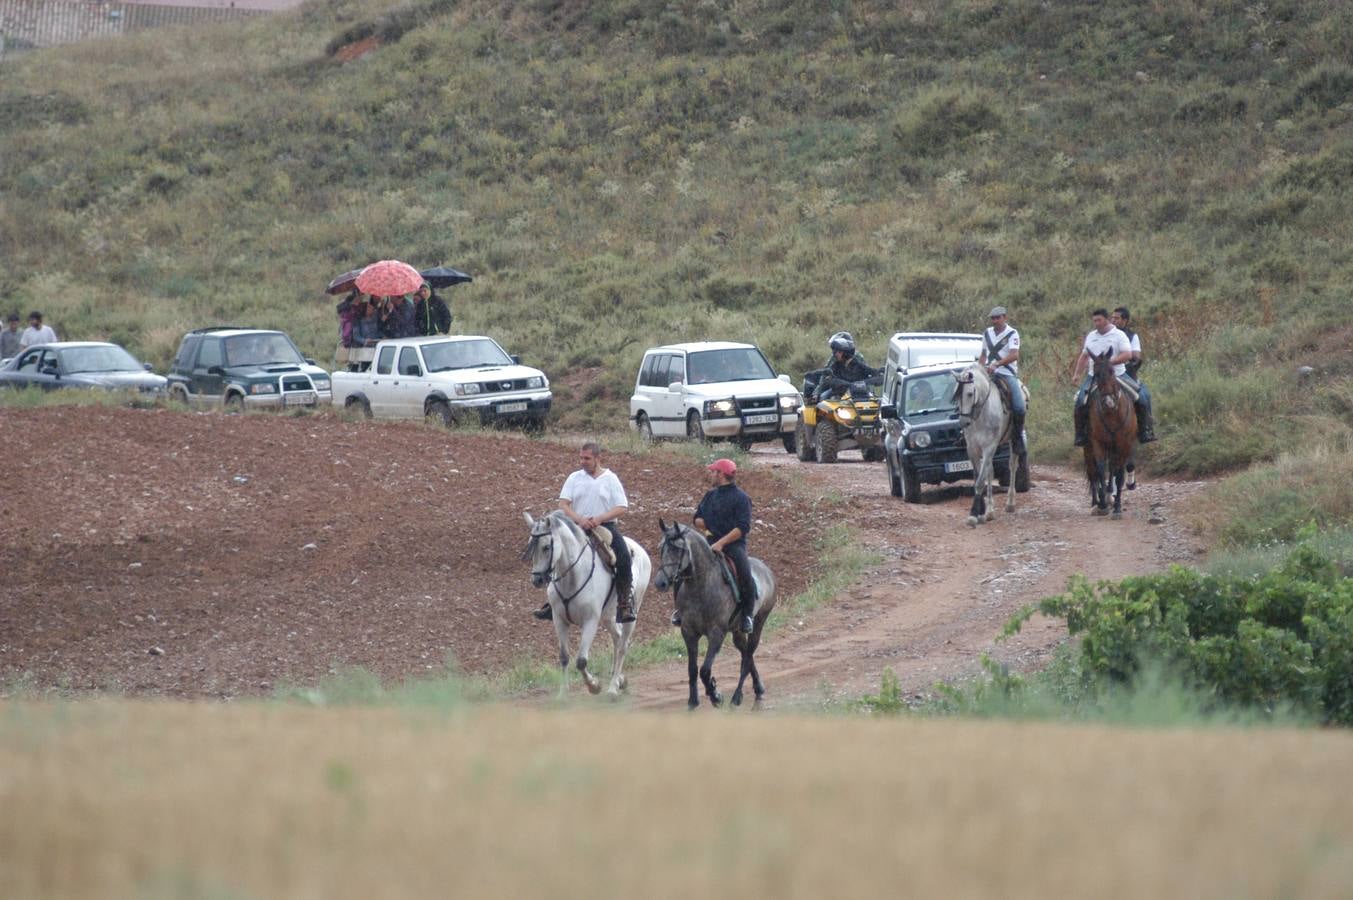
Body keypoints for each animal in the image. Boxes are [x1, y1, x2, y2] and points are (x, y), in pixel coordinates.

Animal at [522, 511, 649, 692]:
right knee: (617, 638)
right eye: (530, 546)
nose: (537, 580)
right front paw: (563, 693)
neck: (573, 577)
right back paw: (619, 680)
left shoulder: (590, 621)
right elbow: (564, 656)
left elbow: (581, 661)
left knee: (623, 645)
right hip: (608, 616)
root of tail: (640, 549)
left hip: (631, 613)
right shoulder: (559, 620)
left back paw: (612, 688)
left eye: (546, 547)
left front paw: (594, 686)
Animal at [652, 519, 779, 709]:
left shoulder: (716, 634)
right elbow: (692, 669)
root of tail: (766, 569)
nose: (660, 583)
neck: (701, 586)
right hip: (737, 630)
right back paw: (758, 688)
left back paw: (737, 697)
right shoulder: (688, 633)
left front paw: (716, 695)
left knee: (748, 657)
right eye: (661, 547)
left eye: (677, 549)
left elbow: (705, 670)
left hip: (759, 621)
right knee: (745, 652)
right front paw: (693, 701)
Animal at [952, 360, 1017, 527]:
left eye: (969, 394)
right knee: (990, 471)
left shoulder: (989, 447)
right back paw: (990, 511)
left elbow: (980, 481)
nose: (963, 422)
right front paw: (981, 512)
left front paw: (974, 514)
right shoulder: (973, 448)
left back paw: (1010, 503)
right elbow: (978, 477)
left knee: (1012, 466)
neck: (981, 415)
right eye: (956, 395)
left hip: (1012, 440)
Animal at [1082, 351, 1136, 519]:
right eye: (1096, 374)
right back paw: (1096, 501)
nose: (1108, 402)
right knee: (1093, 472)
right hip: (1088, 447)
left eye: (1112, 371)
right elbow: (1100, 471)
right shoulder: (1098, 443)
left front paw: (1117, 506)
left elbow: (1119, 474)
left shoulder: (1125, 444)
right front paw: (1103, 504)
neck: (1112, 414)